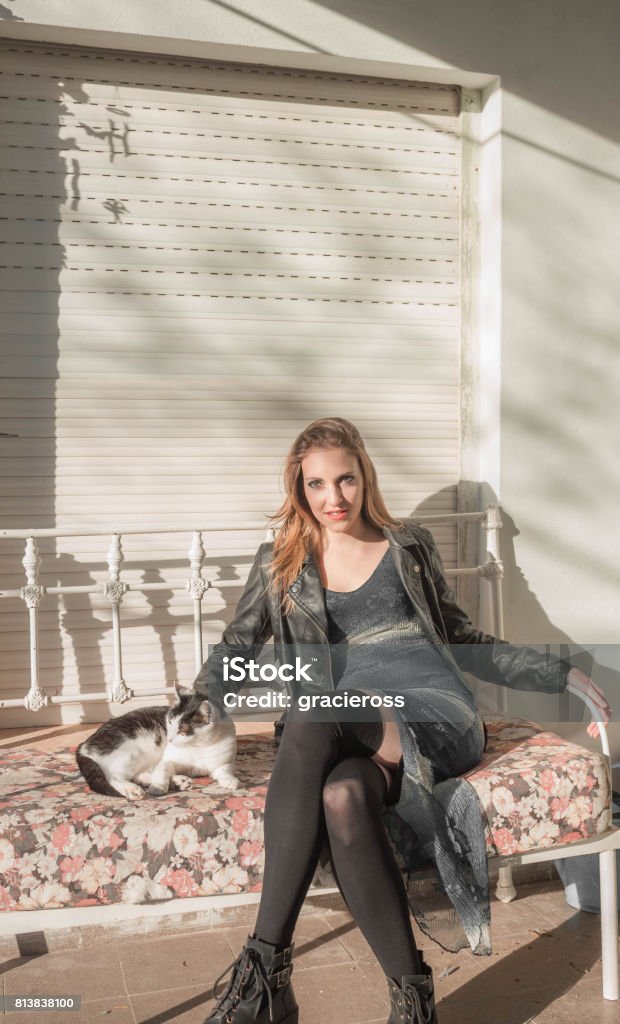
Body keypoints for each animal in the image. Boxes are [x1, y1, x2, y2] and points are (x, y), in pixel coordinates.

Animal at [75, 679, 239, 798]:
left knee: (139, 775)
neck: (198, 747)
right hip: (133, 752)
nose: (169, 739)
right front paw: (159, 787)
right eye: (170, 722)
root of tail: (83, 746)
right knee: (113, 777)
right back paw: (133, 789)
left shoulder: (223, 761)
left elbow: (225, 769)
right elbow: (163, 769)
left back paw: (179, 781)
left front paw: (230, 781)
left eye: (183, 730)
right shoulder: (166, 759)